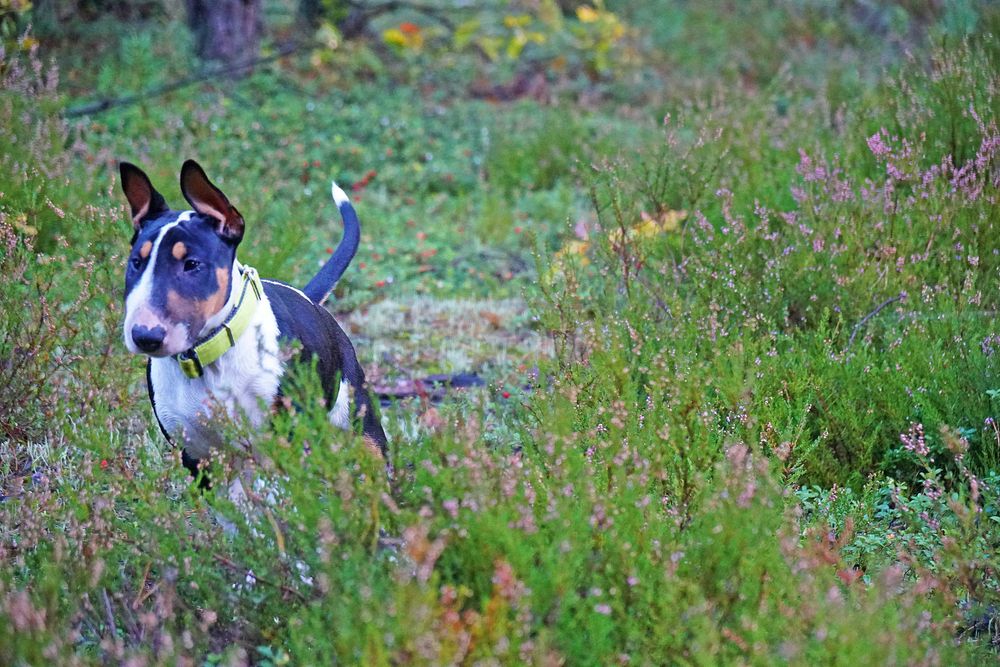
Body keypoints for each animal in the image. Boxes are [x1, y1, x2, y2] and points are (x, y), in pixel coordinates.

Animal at [115, 158, 384, 480]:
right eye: (136, 262)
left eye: (192, 264)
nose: (145, 336)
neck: (211, 356)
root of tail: (310, 300)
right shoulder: (196, 455)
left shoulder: (282, 438)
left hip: (357, 418)